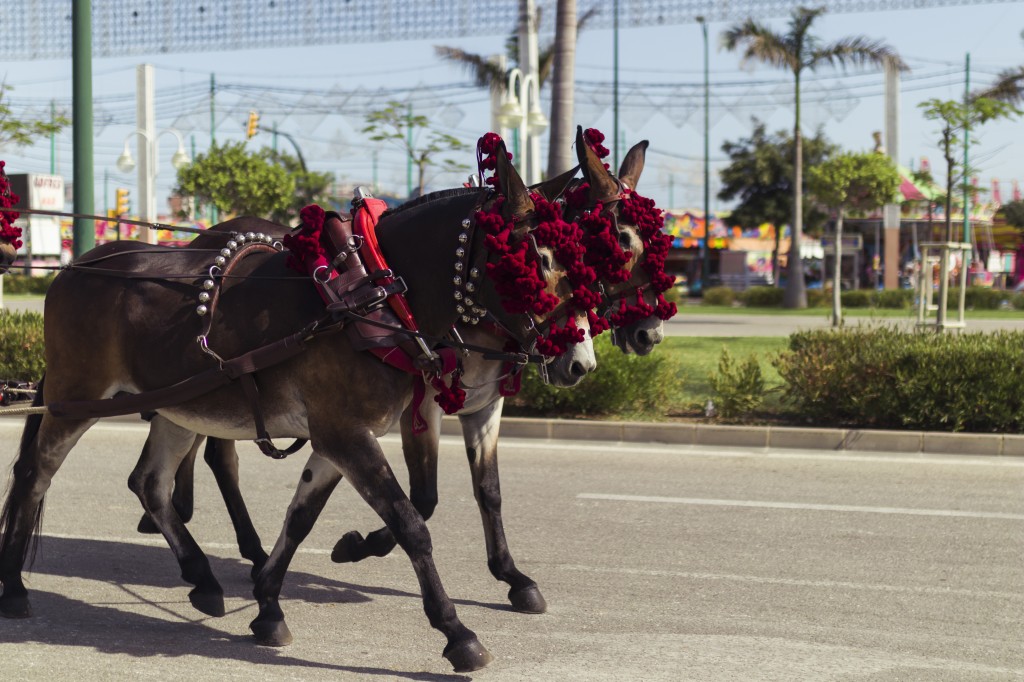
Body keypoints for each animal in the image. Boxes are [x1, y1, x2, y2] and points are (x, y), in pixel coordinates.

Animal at [0, 139, 585, 667]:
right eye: (532, 261)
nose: (577, 360)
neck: (374, 295)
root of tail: (76, 267)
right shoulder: (346, 433)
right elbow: (410, 524)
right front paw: (456, 633)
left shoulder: (336, 436)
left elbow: (301, 516)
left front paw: (267, 604)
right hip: (76, 397)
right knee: (35, 474)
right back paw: (15, 589)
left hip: (178, 407)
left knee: (149, 482)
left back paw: (204, 580)